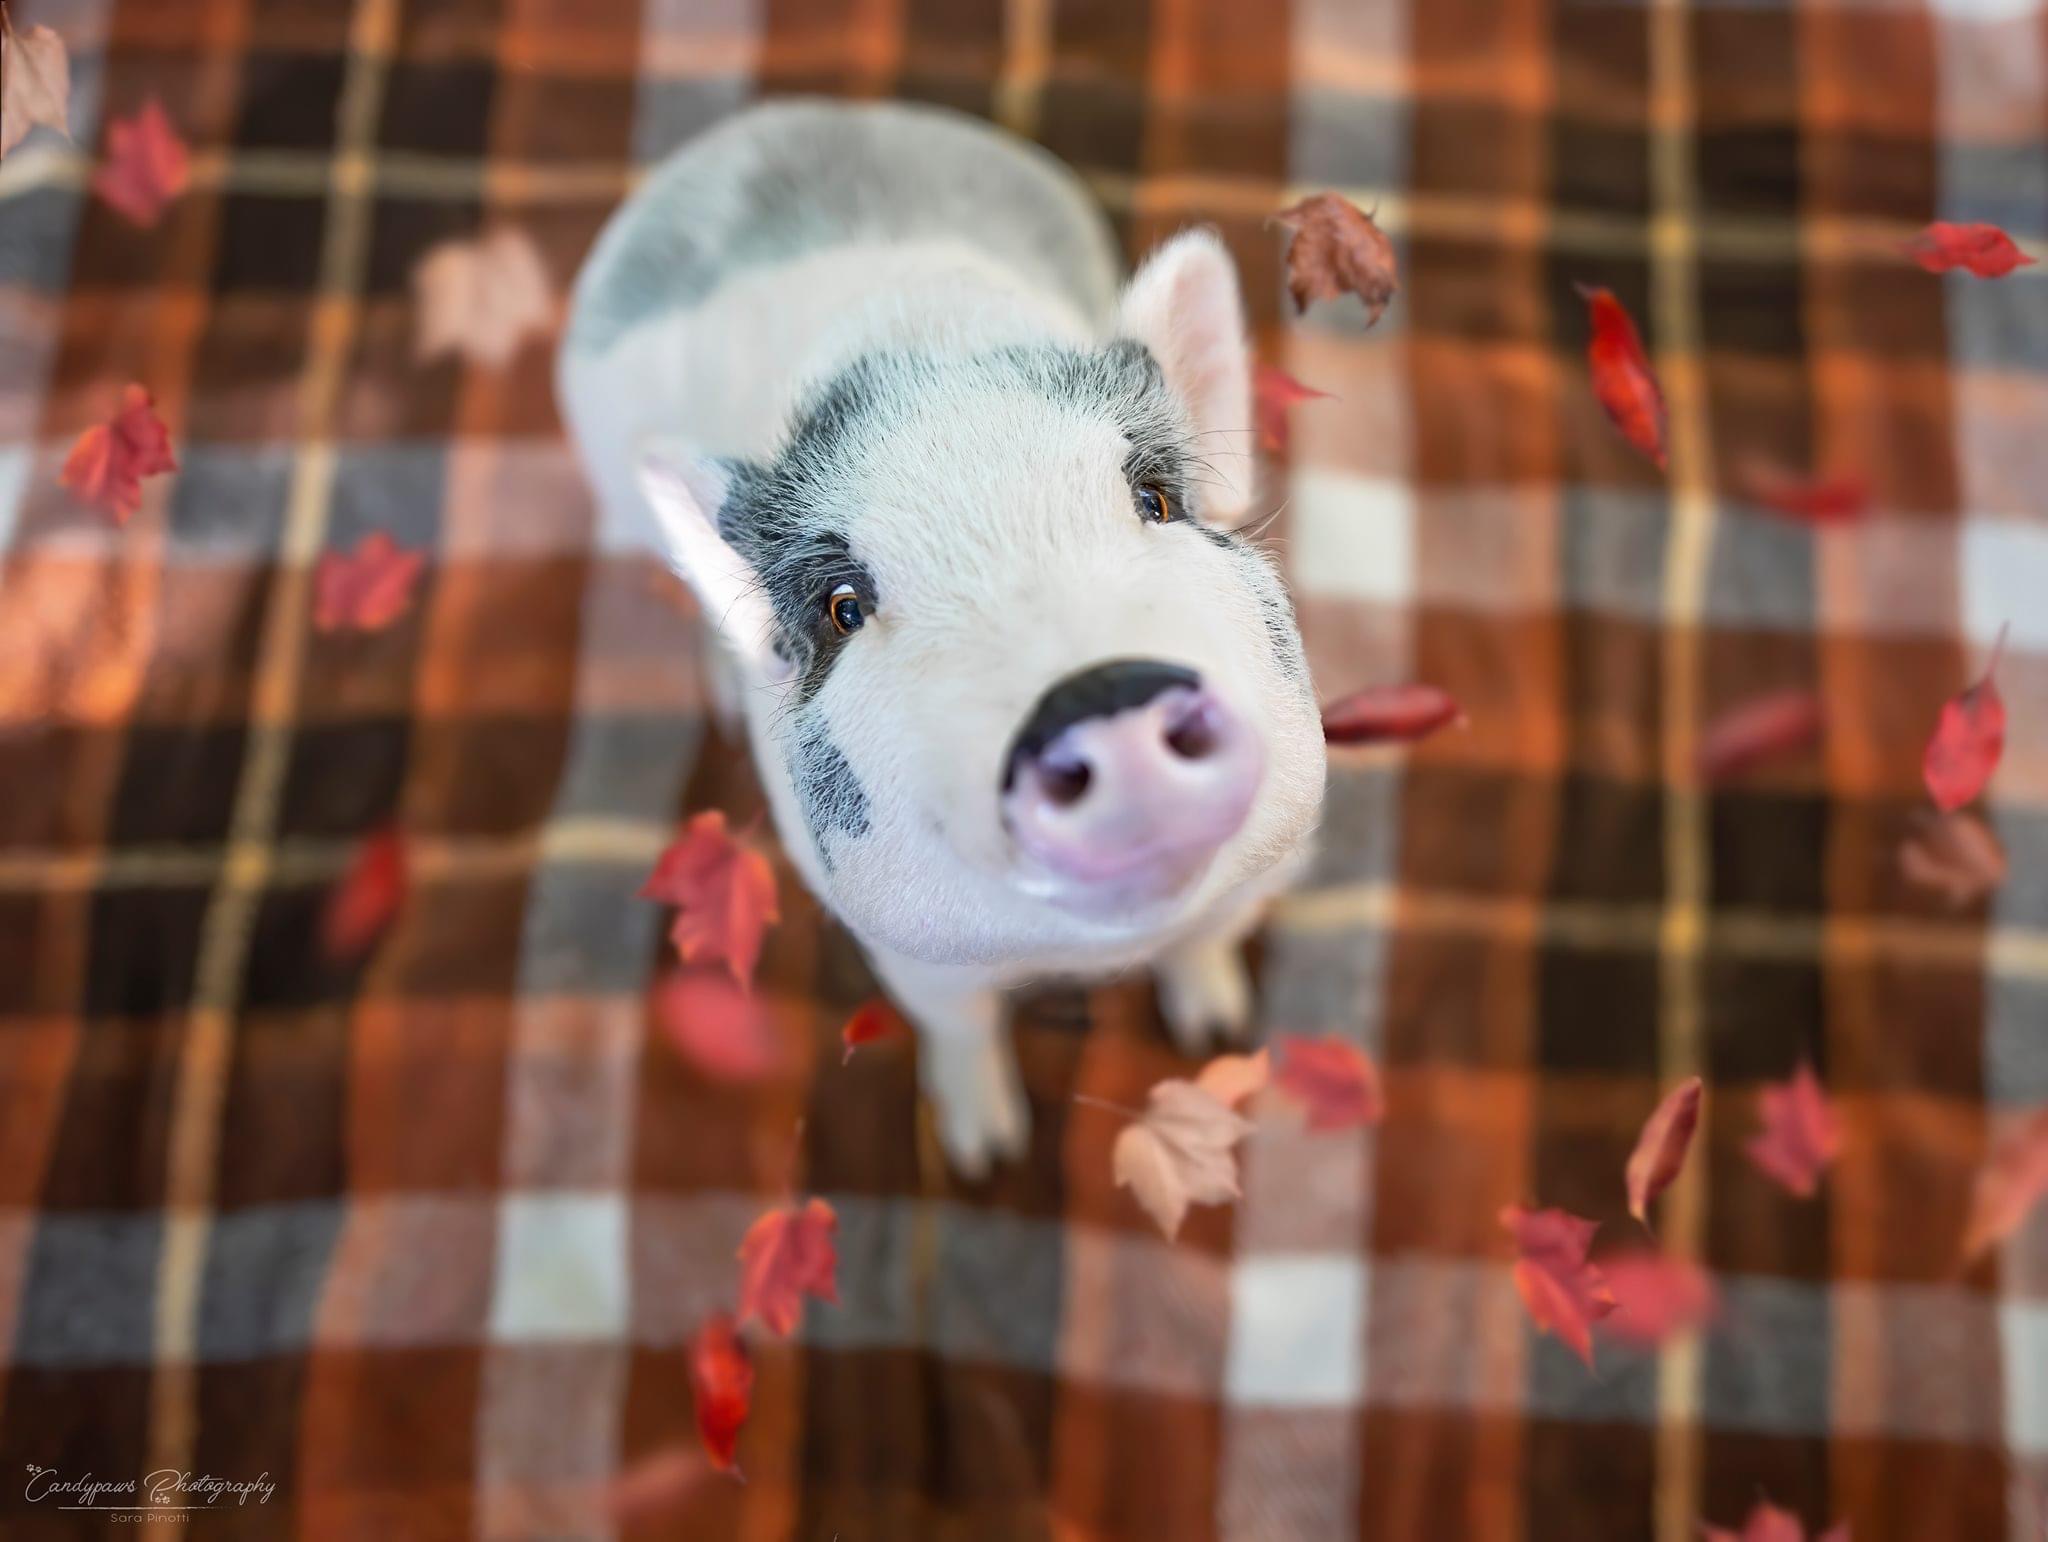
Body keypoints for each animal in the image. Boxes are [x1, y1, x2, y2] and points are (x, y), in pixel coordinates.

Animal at [558, 99, 1326, 1172]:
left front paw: (1219, 1031)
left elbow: (1205, 945)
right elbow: (960, 1026)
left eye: (1155, 499)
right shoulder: (903, 946)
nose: (1100, 693)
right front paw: (985, 1159)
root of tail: (770, 127)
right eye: (844, 605)